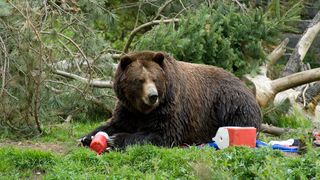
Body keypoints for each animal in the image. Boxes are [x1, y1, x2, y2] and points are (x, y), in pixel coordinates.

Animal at [79, 51, 260, 149]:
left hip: (230, 104)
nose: (152, 96)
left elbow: (163, 133)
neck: (143, 110)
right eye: (139, 80)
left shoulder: (170, 106)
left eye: (155, 78)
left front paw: (115, 140)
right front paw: (87, 138)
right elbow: (114, 123)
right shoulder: (127, 108)